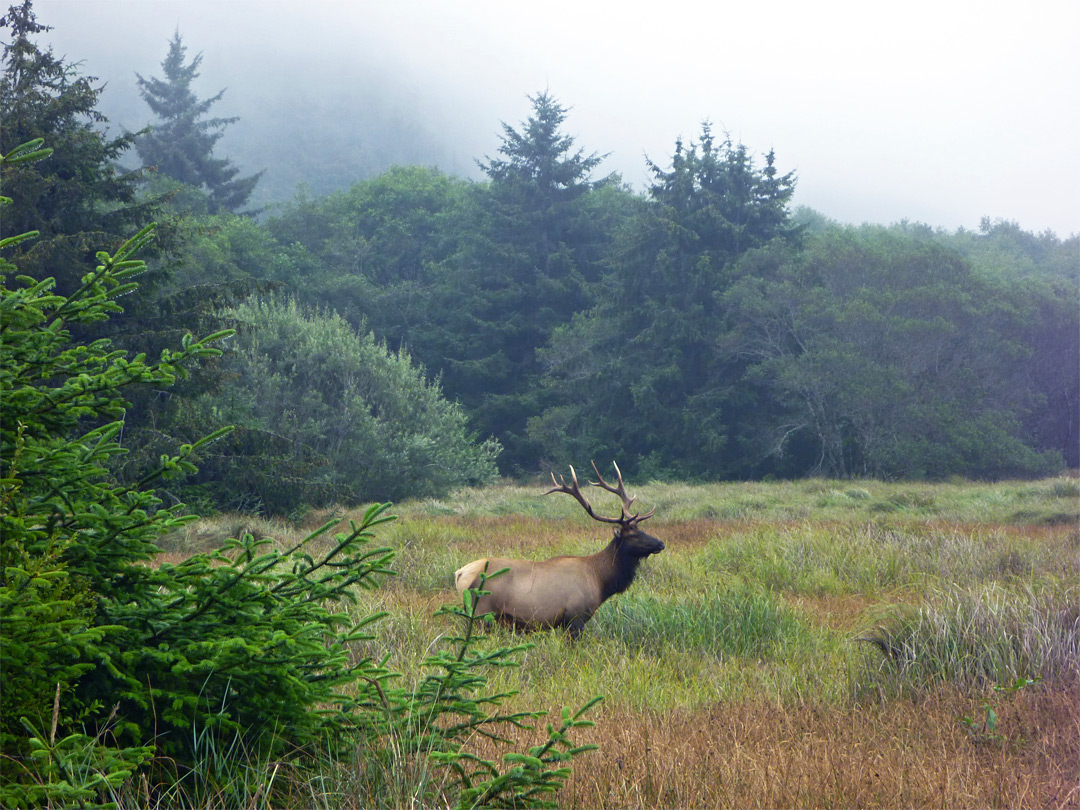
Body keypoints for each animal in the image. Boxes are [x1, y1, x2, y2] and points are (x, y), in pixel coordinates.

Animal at [451, 462, 660, 639]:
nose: (660, 543)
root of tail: (460, 574)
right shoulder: (575, 617)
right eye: (633, 535)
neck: (600, 580)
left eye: (641, 529)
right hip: (482, 612)